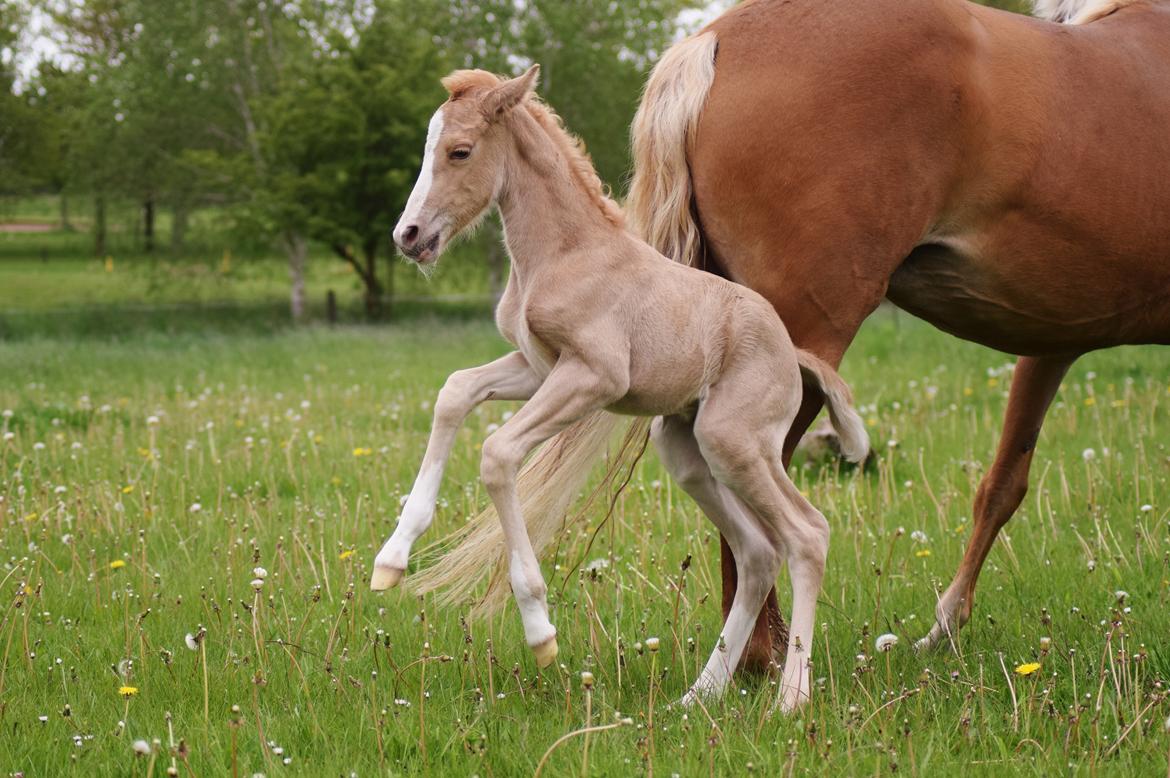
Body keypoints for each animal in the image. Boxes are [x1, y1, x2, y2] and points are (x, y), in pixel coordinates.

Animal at [372, 66, 870, 711]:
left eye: (460, 151)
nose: (408, 236)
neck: (564, 254)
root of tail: (794, 354)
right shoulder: (537, 367)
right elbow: (455, 392)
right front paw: (391, 560)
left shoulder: (594, 376)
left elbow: (498, 453)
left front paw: (540, 632)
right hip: (686, 449)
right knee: (759, 554)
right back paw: (699, 696)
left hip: (736, 442)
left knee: (807, 535)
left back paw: (790, 698)